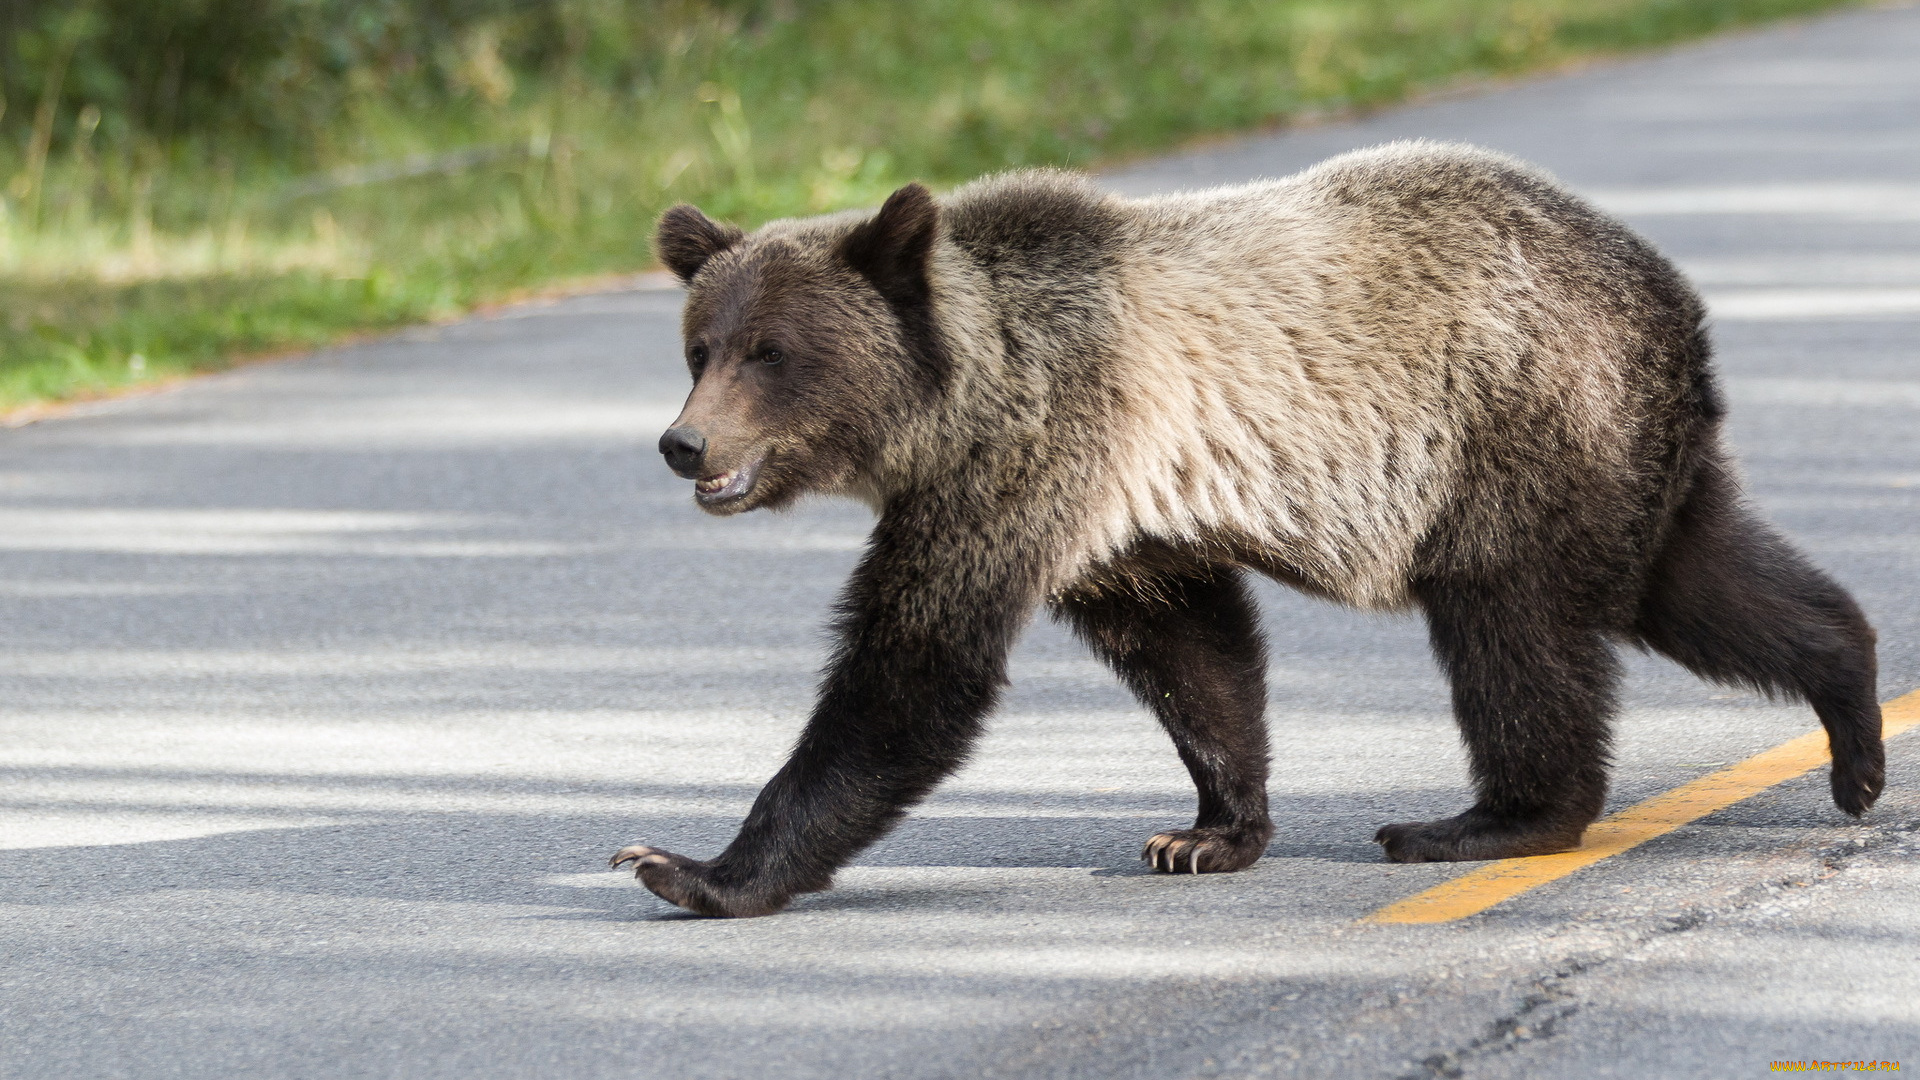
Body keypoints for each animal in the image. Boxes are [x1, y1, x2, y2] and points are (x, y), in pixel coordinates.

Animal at [610, 141, 1873, 914]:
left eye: (771, 352)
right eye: (698, 347)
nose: (684, 444)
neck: (961, 399)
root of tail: (1671, 294)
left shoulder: (1037, 451)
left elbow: (915, 669)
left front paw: (687, 865)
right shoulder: (1114, 517)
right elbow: (1194, 655)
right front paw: (1207, 831)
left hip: (1517, 427)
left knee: (1515, 631)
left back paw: (1485, 821)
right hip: (1618, 457)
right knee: (1705, 579)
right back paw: (1855, 727)